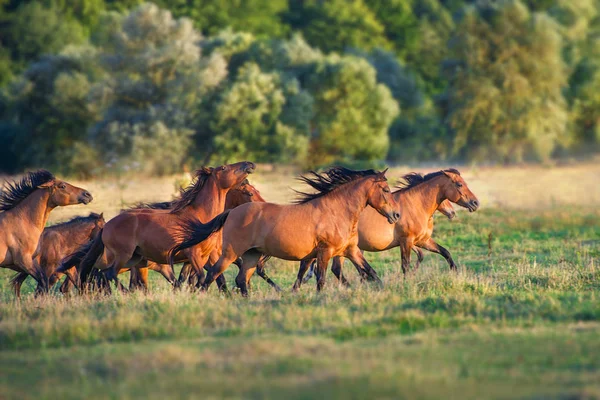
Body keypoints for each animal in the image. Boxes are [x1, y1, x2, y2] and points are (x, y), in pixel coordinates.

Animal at [63, 162, 255, 290]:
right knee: (109, 274)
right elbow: (200, 278)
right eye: (223, 168)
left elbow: (195, 279)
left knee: (107, 275)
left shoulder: (201, 257)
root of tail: (107, 225)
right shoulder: (193, 254)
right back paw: (124, 293)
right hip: (123, 255)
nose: (249, 164)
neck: (199, 218)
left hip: (136, 258)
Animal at [171, 167, 400, 296]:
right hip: (231, 253)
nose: (396, 215)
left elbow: (371, 272)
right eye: (386, 190)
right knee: (214, 274)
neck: (336, 212)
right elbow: (320, 279)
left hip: (252, 255)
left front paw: (385, 291)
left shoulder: (351, 250)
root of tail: (231, 211)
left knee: (241, 279)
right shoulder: (324, 252)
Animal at [298, 169, 480, 288]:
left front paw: (456, 273)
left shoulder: (423, 241)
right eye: (459, 184)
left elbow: (445, 252)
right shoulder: (406, 241)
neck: (416, 205)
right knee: (333, 269)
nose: (475, 203)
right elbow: (405, 265)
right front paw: (407, 283)